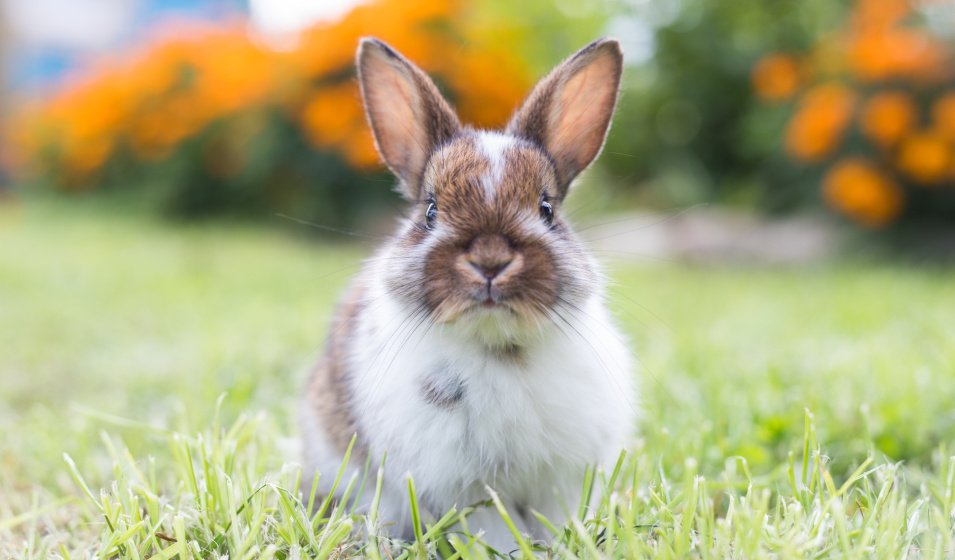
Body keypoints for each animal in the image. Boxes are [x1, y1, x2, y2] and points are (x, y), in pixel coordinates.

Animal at [301, 36, 635, 552]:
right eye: (431, 211)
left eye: (546, 209)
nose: (490, 262)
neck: (499, 346)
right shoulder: (464, 488)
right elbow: (489, 530)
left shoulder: (561, 479)